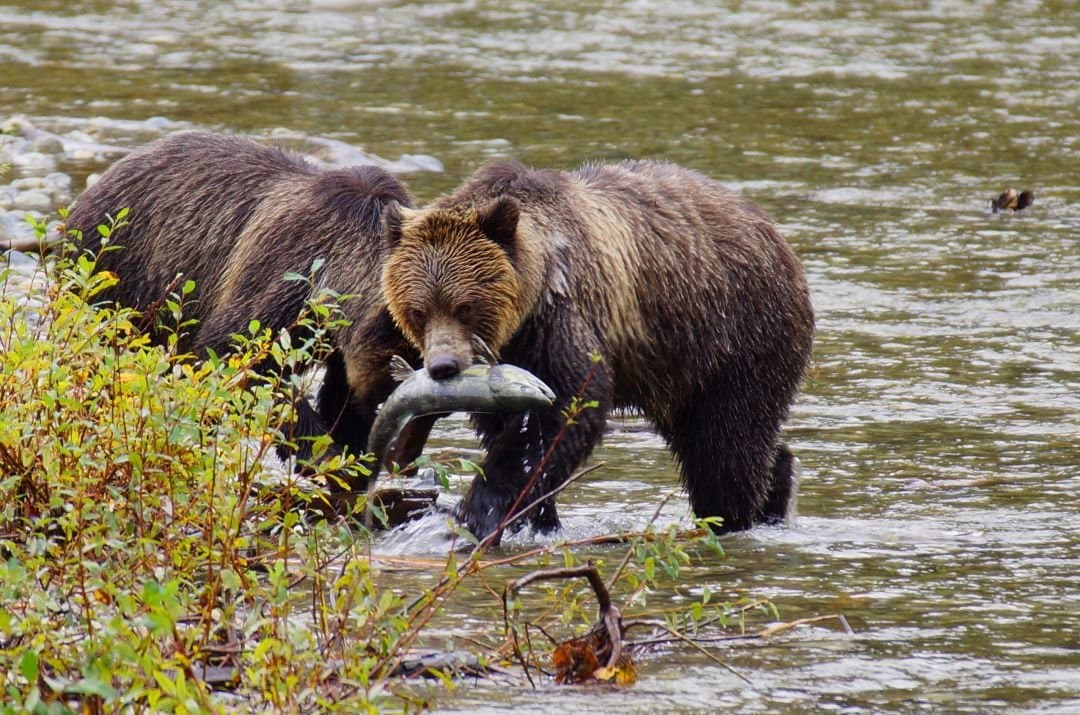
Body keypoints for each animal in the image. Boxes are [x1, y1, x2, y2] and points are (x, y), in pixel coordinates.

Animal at [64, 131, 423, 484]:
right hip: (118, 278)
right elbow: (239, 354)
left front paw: (350, 455)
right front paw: (322, 451)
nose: (406, 457)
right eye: (398, 377)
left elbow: (341, 393)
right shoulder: (287, 275)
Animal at [381, 158, 815, 542]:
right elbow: (505, 426)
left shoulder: (563, 319)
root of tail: (777, 236)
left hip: (736, 335)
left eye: (465, 306)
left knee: (727, 446)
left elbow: (566, 410)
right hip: (678, 368)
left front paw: (479, 510)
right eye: (418, 310)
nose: (443, 366)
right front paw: (539, 517)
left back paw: (734, 516)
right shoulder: (511, 358)